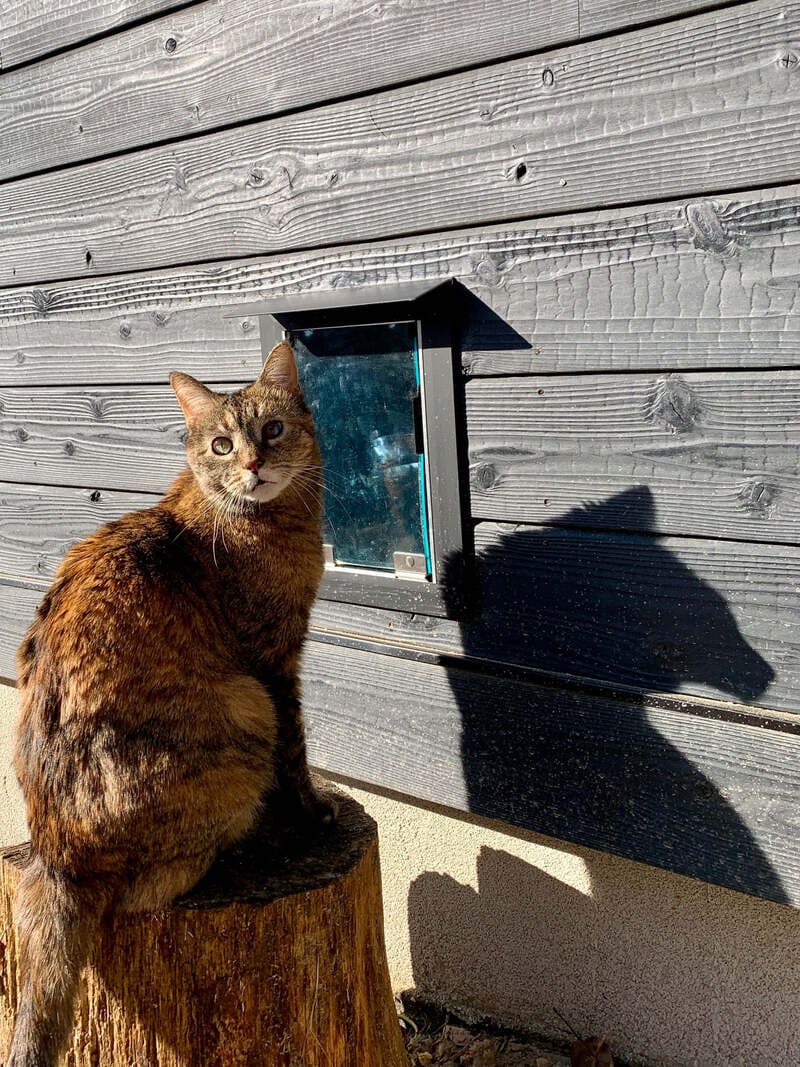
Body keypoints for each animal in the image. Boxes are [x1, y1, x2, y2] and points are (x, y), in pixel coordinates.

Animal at [10, 341, 328, 1067]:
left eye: (273, 430)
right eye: (221, 443)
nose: (253, 464)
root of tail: (57, 854)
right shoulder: (273, 665)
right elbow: (296, 755)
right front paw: (310, 810)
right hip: (245, 708)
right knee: (143, 892)